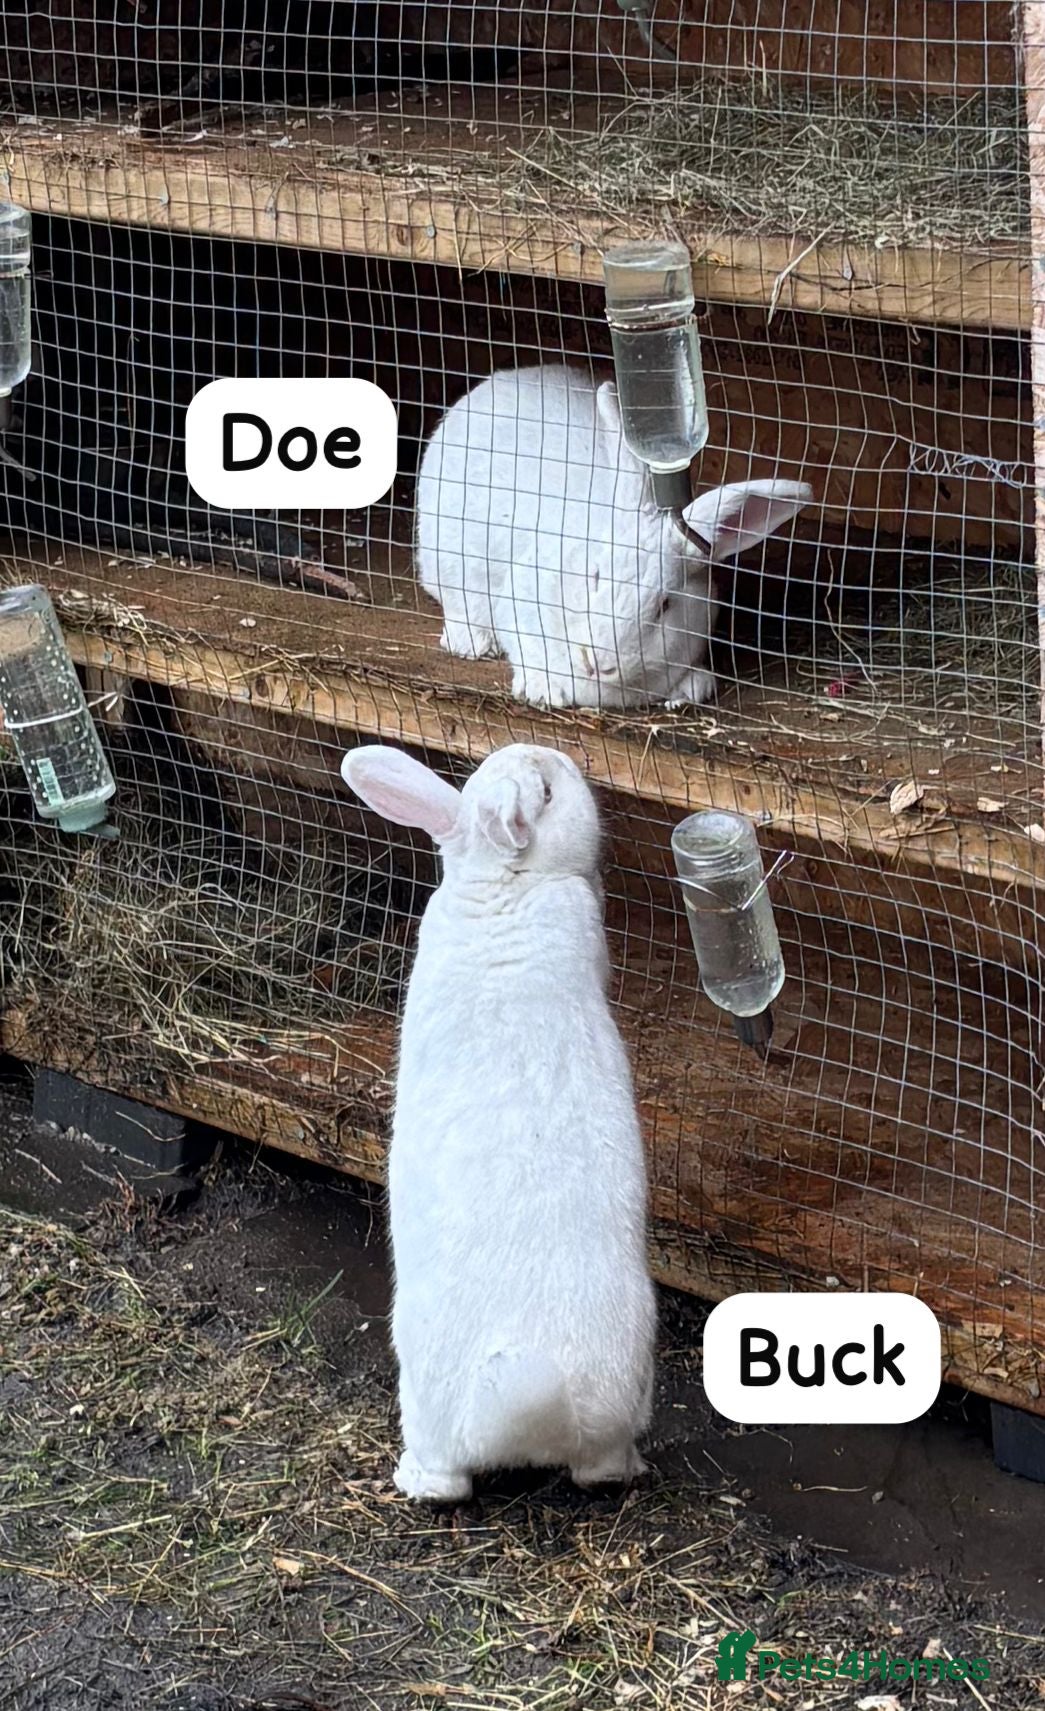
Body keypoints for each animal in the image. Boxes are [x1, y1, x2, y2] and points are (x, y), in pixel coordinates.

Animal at [416, 363, 814, 711]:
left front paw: (692, 688)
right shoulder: (520, 598)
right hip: (443, 560)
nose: (599, 662)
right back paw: (472, 643)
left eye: (665, 605)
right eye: (594, 577)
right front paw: (544, 690)